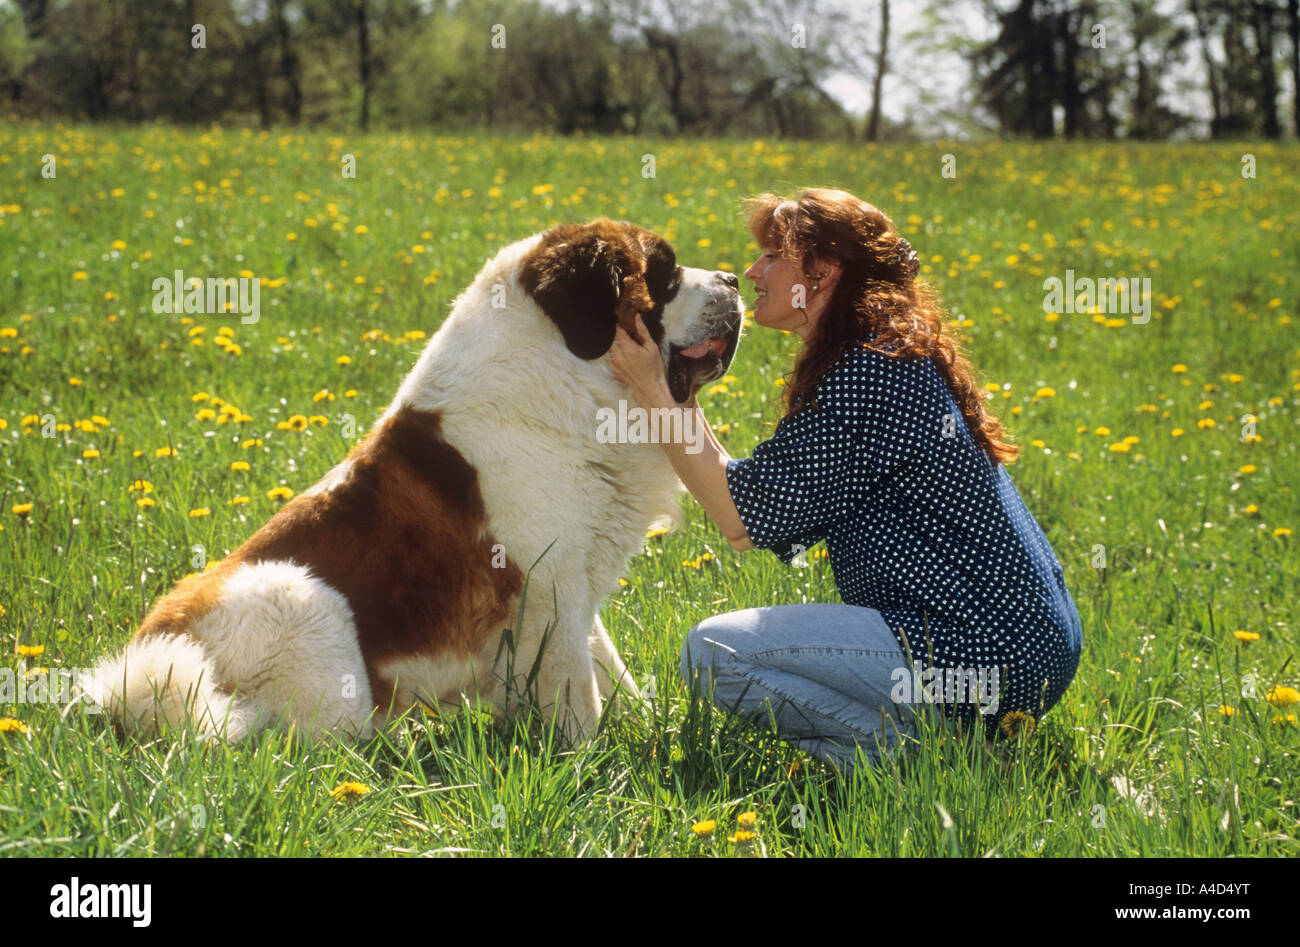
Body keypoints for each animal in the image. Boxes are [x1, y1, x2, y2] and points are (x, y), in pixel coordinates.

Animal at [89, 219, 743, 749]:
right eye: (663, 273)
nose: (735, 279)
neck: (567, 374)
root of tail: (132, 665)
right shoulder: (546, 591)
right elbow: (576, 689)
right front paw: (590, 765)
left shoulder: (575, 581)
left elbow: (607, 663)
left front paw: (648, 725)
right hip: (298, 597)